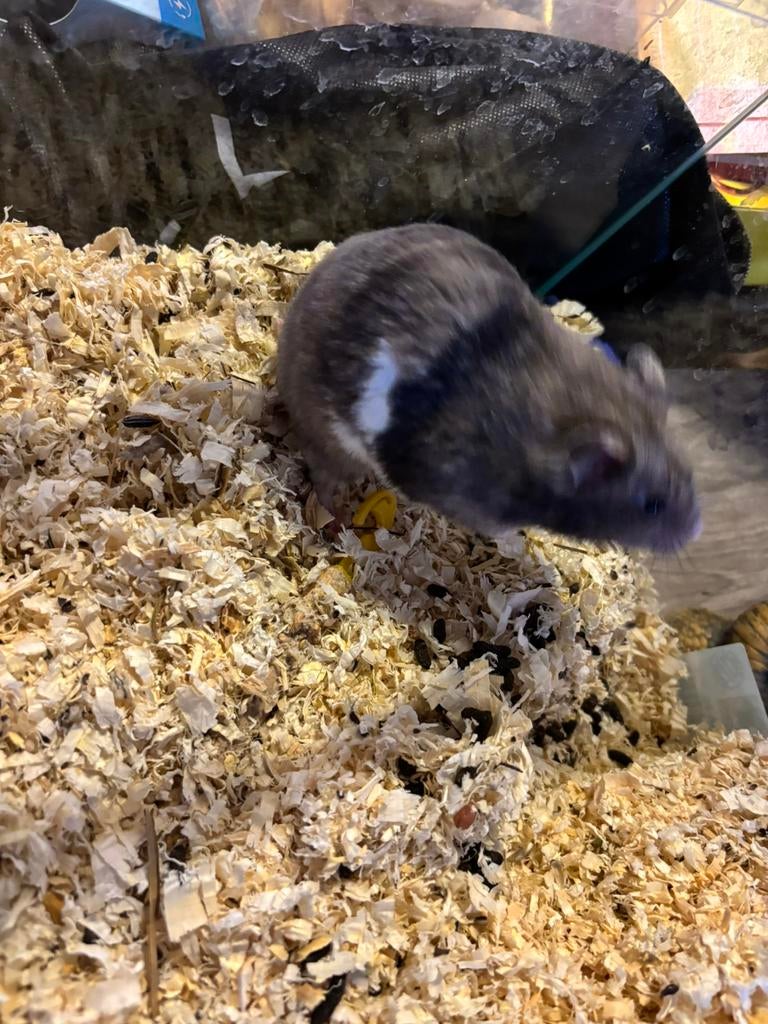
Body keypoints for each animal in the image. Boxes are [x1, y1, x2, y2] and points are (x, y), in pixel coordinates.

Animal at [277, 223, 701, 553]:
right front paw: (514, 542)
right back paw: (332, 517)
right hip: (333, 437)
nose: (696, 532)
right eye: (653, 505)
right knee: (324, 476)